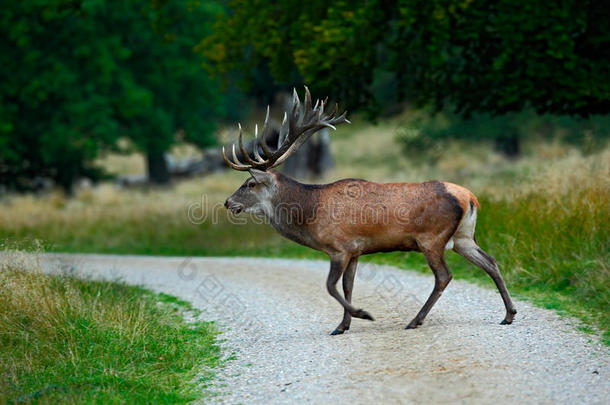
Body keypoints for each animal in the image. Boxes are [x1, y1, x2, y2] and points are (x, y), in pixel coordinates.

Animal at [221, 86, 516, 334]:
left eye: (249, 184)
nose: (227, 202)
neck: (310, 214)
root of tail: (470, 197)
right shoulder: (355, 250)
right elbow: (347, 286)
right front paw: (342, 326)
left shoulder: (339, 246)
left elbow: (330, 286)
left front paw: (362, 315)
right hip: (463, 237)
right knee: (490, 261)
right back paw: (509, 314)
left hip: (432, 238)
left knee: (444, 276)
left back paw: (415, 320)